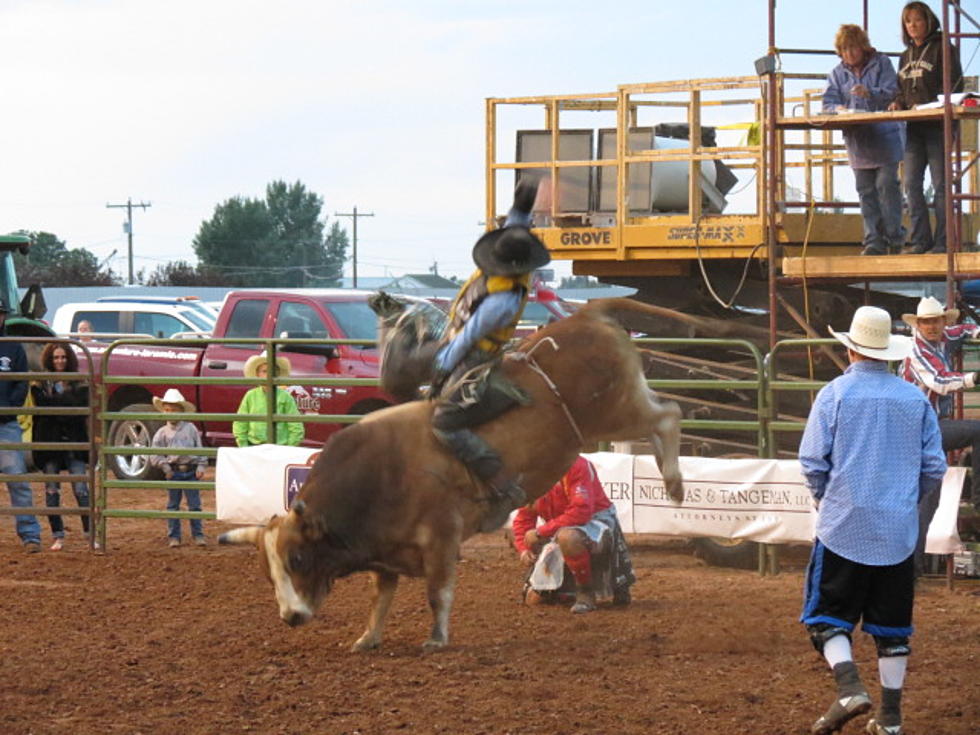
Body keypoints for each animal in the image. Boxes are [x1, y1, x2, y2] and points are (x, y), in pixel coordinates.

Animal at [219, 296, 684, 652]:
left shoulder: (442, 536)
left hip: (615, 411)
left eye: (297, 558)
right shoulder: (385, 554)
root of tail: (587, 314)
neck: (379, 473)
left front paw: (436, 639)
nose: (290, 616)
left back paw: (676, 485)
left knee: (669, 415)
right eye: (268, 570)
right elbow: (380, 599)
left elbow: (436, 592)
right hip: (623, 406)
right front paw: (368, 639)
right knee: (662, 416)